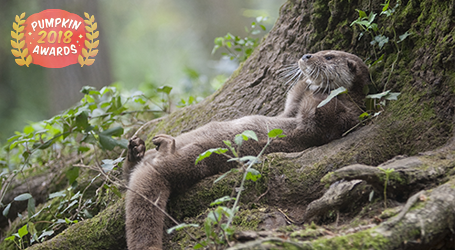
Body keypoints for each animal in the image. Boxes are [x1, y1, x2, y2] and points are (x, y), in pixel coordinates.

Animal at [124, 49, 370, 249]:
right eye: (320, 50)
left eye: (328, 57)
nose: (306, 56)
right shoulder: (290, 111)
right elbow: (292, 102)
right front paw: (305, 80)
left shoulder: (338, 119)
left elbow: (319, 120)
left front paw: (319, 88)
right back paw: (136, 149)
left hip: (196, 158)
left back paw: (165, 146)